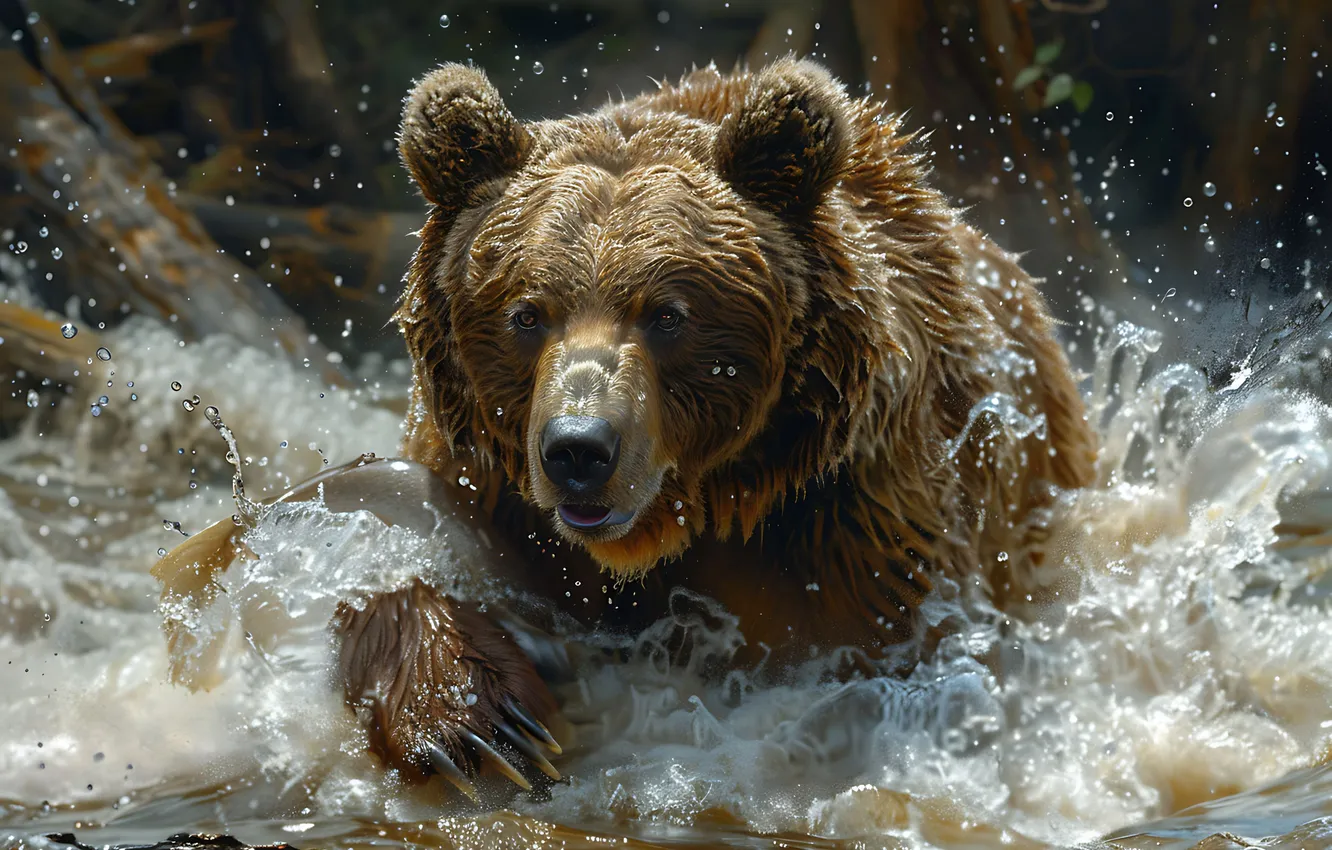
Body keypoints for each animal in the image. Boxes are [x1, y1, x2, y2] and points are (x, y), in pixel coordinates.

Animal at [332, 56, 1098, 797]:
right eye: (527, 313)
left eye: (668, 314)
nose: (578, 450)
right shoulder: (486, 479)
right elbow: (393, 541)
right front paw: (478, 721)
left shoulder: (858, 516)